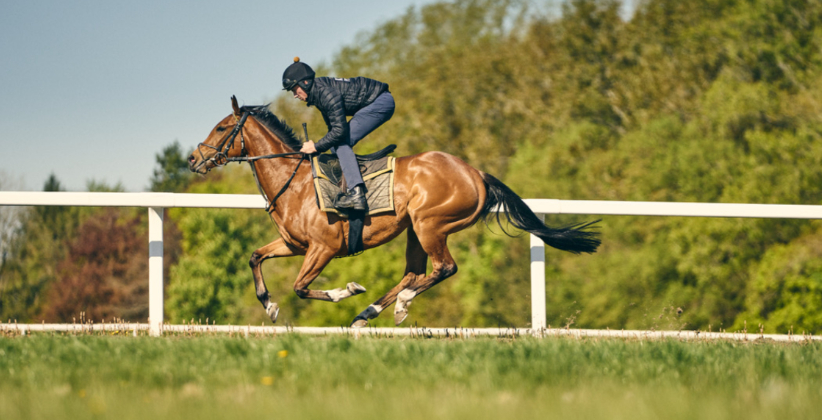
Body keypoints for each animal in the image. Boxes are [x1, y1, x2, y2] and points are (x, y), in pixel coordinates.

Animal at [188, 96, 600, 328]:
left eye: (222, 127)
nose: (193, 158)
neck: (297, 181)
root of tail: (476, 173)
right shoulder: (294, 244)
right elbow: (255, 257)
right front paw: (270, 306)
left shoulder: (323, 248)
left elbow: (301, 287)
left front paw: (346, 290)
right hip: (415, 230)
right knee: (413, 273)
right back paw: (368, 314)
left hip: (430, 223)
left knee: (443, 268)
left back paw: (395, 305)